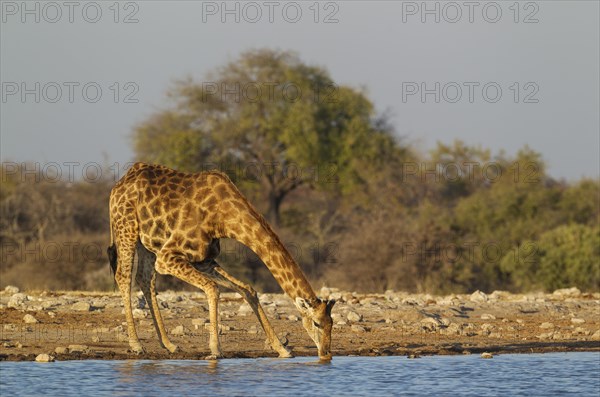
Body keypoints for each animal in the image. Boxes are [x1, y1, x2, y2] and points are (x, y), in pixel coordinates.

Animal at [108, 161, 332, 358]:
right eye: (317, 323)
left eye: (331, 323)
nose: (326, 353)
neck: (224, 219)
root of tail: (118, 185)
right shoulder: (167, 257)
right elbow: (213, 288)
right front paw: (216, 350)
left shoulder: (204, 259)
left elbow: (248, 290)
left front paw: (282, 349)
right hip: (126, 228)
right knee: (123, 276)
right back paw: (136, 345)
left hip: (146, 241)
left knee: (145, 279)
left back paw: (169, 344)